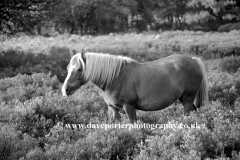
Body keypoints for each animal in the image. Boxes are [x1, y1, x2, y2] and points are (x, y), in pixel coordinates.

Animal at [61, 50, 208, 123]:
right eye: (68, 68)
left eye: (79, 69)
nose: (65, 90)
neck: (115, 78)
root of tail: (193, 60)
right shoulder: (113, 108)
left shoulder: (129, 107)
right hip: (186, 100)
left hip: (187, 100)